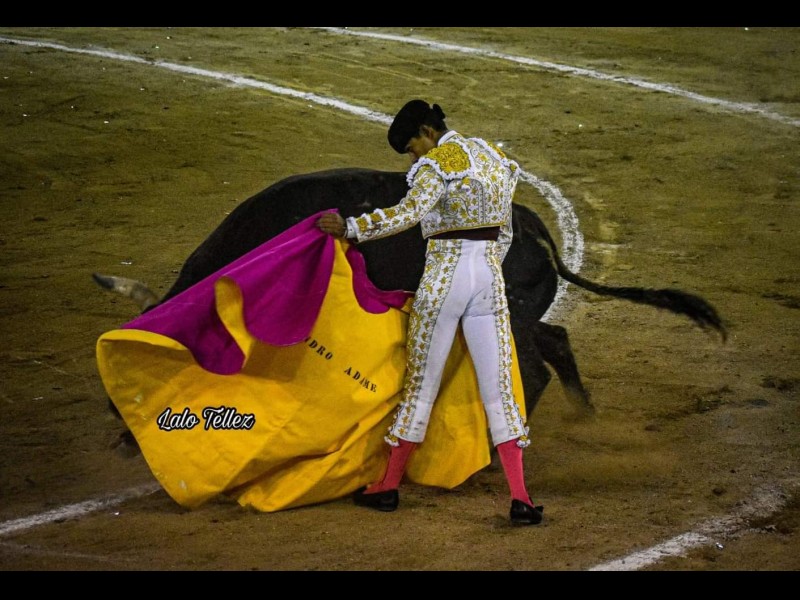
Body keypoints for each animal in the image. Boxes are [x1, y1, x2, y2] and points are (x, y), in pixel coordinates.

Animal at [94, 167, 726, 453]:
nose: (126, 438)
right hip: (520, 312)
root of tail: (532, 225)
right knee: (557, 339)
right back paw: (584, 415)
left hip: (509, 316)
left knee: (535, 364)